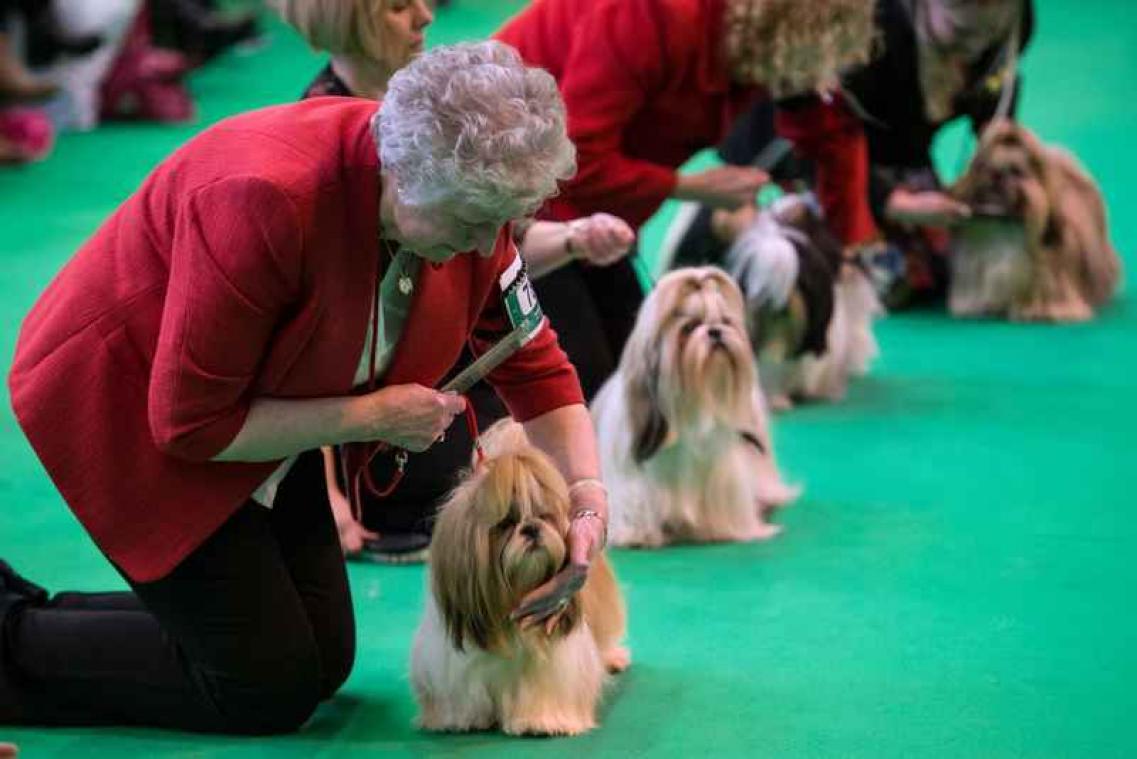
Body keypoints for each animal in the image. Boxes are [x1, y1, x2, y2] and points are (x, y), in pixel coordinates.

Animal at [409, 418, 627, 736]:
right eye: (506, 523)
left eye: (544, 515)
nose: (532, 528)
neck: (507, 600)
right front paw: (460, 718)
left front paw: (542, 721)